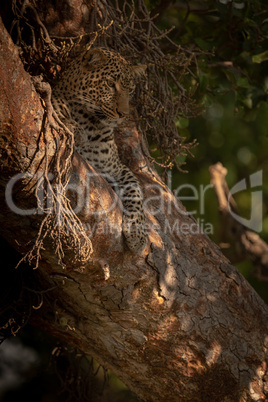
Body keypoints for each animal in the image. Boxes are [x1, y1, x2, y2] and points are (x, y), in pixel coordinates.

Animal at [51, 48, 148, 253]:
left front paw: (138, 234)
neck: (90, 123)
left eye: (130, 90)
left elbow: (135, 190)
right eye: (111, 84)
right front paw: (75, 129)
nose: (124, 114)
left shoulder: (117, 169)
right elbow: (57, 105)